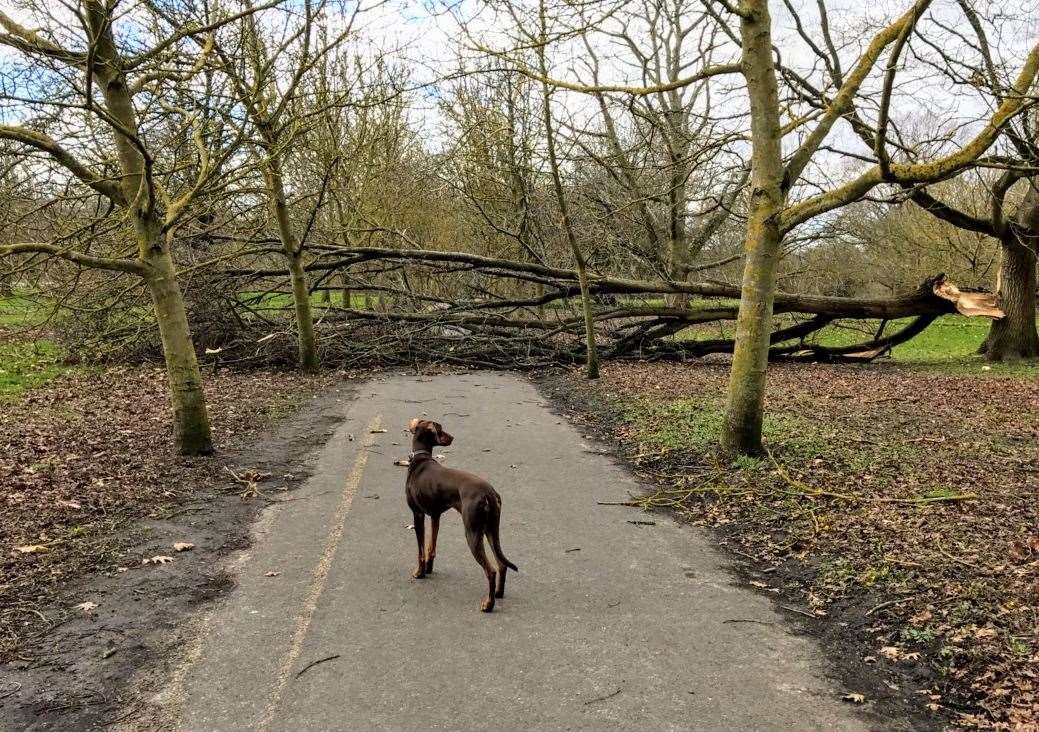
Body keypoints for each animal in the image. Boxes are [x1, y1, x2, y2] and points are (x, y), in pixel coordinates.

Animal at [405, 417, 519, 610]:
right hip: (491, 530)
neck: (421, 459)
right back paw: (498, 593)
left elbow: (420, 551)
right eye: (441, 430)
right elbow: (431, 547)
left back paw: (488, 604)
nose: (452, 437)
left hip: (472, 532)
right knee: (501, 564)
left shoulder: (418, 514)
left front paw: (419, 573)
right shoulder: (435, 516)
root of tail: (489, 493)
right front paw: (429, 569)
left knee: (491, 570)